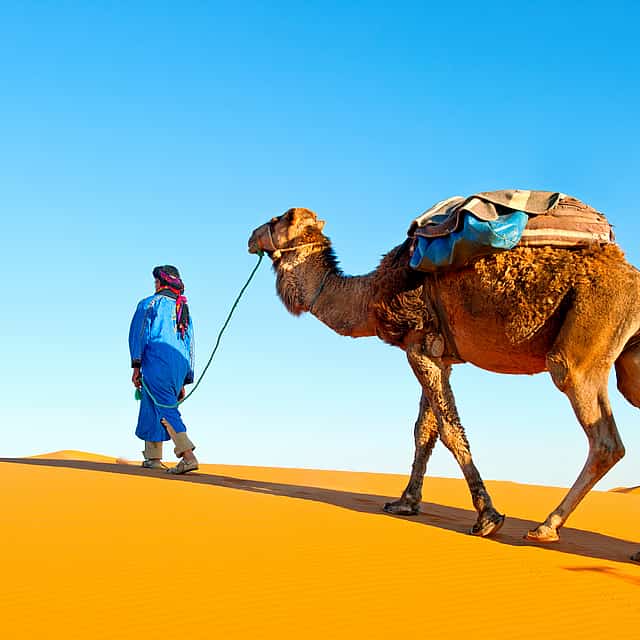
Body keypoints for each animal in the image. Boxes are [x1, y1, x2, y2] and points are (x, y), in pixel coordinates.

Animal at [248, 207, 640, 561]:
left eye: (278, 219)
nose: (251, 237)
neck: (371, 296)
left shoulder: (420, 344)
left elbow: (449, 430)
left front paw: (487, 518)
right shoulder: (441, 356)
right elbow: (425, 430)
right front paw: (405, 502)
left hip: (584, 340)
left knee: (604, 438)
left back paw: (546, 526)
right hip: (629, 359)